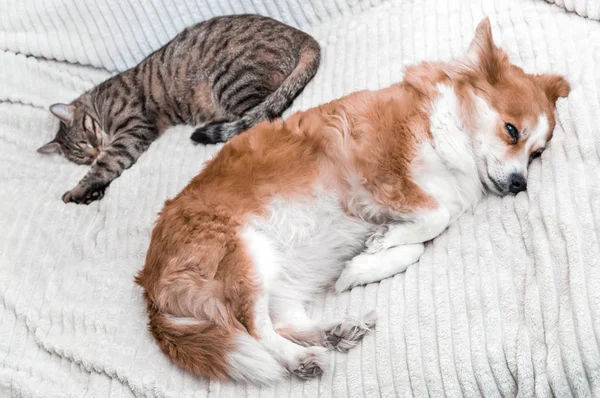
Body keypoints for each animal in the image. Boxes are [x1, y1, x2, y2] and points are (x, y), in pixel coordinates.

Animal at [37, 14, 318, 204]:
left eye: (87, 137)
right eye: (82, 156)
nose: (95, 152)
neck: (100, 103)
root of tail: (301, 35)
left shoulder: (133, 130)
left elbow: (108, 163)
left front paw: (78, 189)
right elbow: (107, 167)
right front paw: (92, 192)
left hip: (234, 81)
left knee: (261, 120)